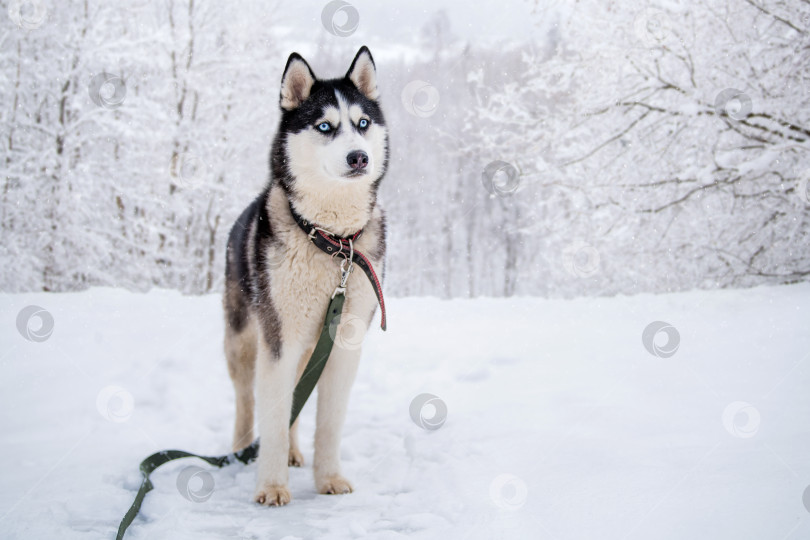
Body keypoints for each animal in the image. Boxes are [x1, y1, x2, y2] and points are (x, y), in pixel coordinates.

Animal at [219, 47, 386, 506]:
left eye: (362, 124)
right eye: (325, 126)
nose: (359, 157)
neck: (333, 242)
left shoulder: (344, 346)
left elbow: (328, 422)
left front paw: (328, 477)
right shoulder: (279, 341)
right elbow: (273, 417)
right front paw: (271, 485)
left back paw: (295, 453)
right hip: (242, 342)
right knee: (245, 400)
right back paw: (241, 448)